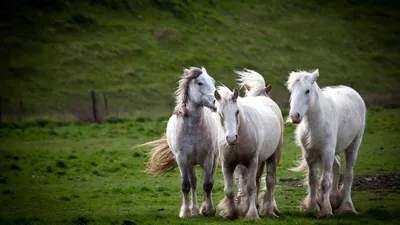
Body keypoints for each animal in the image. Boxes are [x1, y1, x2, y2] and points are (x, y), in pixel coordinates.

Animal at [142, 67, 219, 218]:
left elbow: (207, 184)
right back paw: (194, 209)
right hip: (190, 164)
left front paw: (209, 210)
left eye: (213, 81)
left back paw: (201, 208)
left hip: (212, 160)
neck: (193, 128)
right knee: (193, 183)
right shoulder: (182, 159)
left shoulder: (208, 158)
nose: (216, 102)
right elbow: (185, 185)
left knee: (206, 180)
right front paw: (185, 212)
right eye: (200, 83)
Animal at [286, 69, 368, 217]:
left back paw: (346, 206)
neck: (316, 122)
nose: (294, 116)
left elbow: (325, 182)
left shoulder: (327, 152)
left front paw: (326, 210)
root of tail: (352, 91)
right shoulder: (309, 154)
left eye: (307, 91)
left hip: (353, 146)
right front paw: (312, 207)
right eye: (291, 90)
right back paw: (334, 198)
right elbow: (313, 180)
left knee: (348, 174)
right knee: (337, 166)